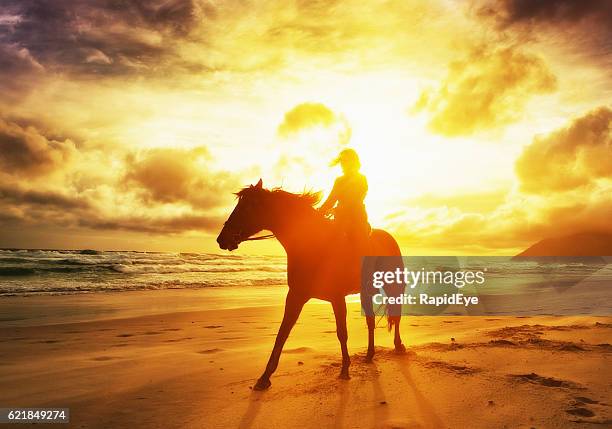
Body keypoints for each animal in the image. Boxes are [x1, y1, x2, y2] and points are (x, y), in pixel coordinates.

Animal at [216, 179, 406, 390]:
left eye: (248, 206)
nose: (222, 239)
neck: (314, 245)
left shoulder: (336, 298)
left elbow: (342, 333)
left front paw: (345, 369)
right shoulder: (296, 296)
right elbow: (282, 333)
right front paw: (264, 377)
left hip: (393, 287)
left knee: (396, 316)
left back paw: (399, 346)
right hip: (366, 291)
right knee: (371, 321)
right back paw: (370, 354)